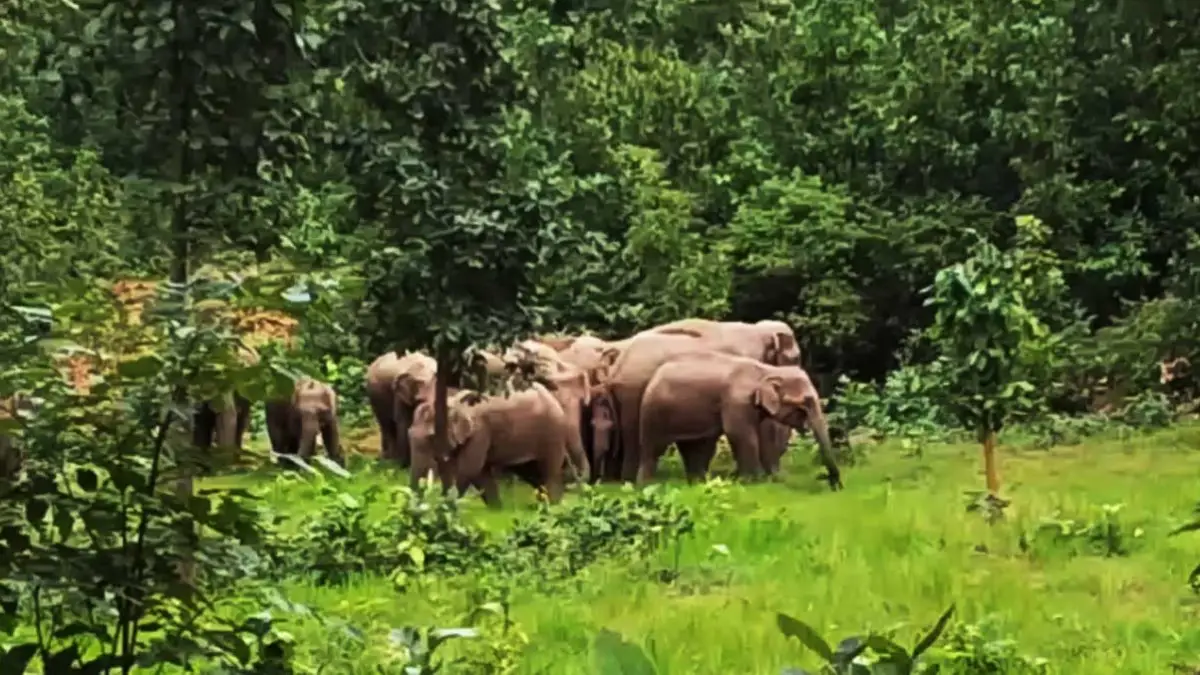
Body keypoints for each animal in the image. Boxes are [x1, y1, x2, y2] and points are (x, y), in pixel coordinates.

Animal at [407, 383, 572, 508]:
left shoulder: (480, 432)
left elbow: (469, 469)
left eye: (431, 437)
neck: (452, 402)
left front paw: (447, 506)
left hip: (553, 432)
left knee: (548, 471)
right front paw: (496, 511)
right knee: (533, 474)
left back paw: (553, 508)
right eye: (408, 433)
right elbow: (479, 473)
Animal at [638, 352, 841, 489]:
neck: (767, 370)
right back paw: (646, 485)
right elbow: (740, 434)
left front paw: (775, 479)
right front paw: (754, 481)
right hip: (654, 411)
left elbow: (765, 435)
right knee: (653, 448)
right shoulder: (737, 400)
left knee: (697, 447)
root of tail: (655, 375)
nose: (832, 483)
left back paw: (698, 484)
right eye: (806, 401)